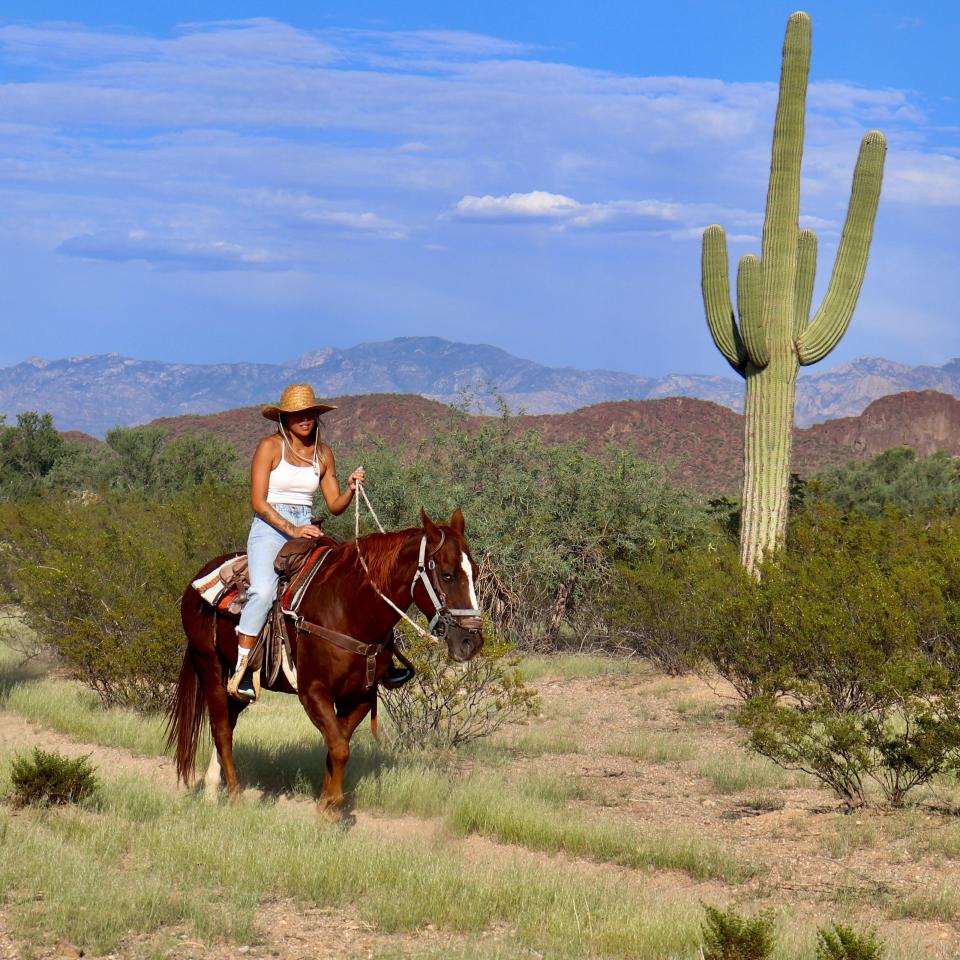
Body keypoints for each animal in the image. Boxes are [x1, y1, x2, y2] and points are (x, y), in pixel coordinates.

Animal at [165, 506, 484, 812]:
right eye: (447, 575)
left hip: (238, 682)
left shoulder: (360, 696)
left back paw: (211, 790)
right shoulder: (314, 693)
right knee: (221, 730)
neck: (349, 609)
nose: (471, 641)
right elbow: (340, 748)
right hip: (209, 664)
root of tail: (197, 580)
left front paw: (326, 804)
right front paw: (331, 808)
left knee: (228, 722)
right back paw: (234, 795)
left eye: (476, 572)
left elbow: (337, 744)